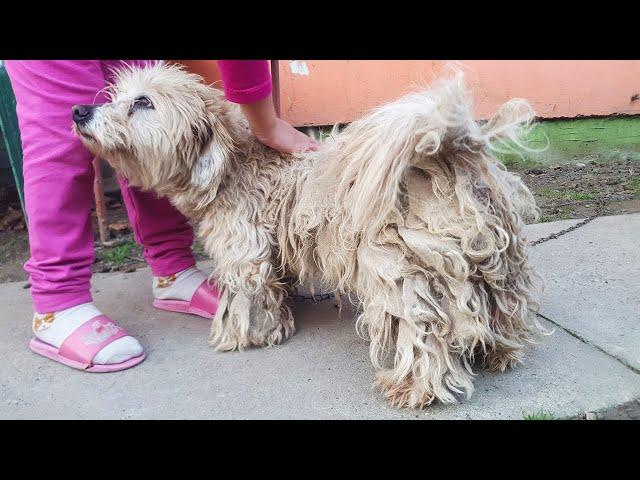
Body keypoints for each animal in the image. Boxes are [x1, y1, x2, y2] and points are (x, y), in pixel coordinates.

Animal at [74, 62, 544, 408]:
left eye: (142, 102)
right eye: (116, 96)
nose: (81, 112)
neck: (232, 165)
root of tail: (441, 156)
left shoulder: (244, 252)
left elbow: (247, 297)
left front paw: (246, 335)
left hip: (402, 273)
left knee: (422, 335)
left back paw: (414, 388)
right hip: (495, 262)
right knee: (499, 308)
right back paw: (501, 351)